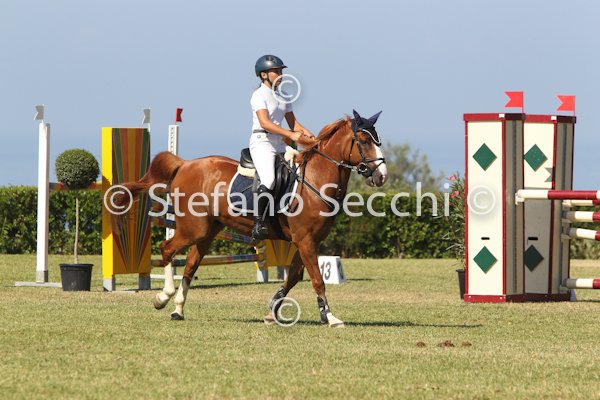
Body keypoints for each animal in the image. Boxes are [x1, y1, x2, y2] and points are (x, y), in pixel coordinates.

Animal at [120, 110, 387, 327]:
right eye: (364, 141)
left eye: (378, 140)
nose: (381, 176)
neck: (316, 179)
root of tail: (184, 165)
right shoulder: (305, 240)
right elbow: (317, 280)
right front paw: (329, 317)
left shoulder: (307, 242)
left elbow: (293, 277)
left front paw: (272, 312)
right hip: (193, 229)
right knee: (167, 249)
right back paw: (162, 297)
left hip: (208, 231)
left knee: (190, 264)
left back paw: (178, 309)